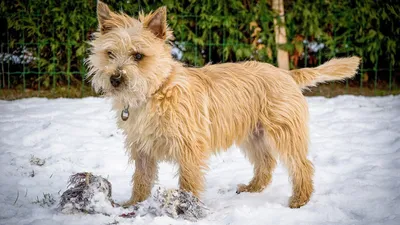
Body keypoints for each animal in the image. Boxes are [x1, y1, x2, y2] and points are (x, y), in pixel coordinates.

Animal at [87, 1, 362, 209]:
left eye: (138, 56)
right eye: (110, 54)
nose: (116, 78)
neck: (156, 91)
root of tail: (286, 74)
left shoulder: (189, 147)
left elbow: (188, 180)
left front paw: (186, 207)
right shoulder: (142, 149)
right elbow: (141, 178)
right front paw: (134, 204)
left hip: (284, 132)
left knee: (301, 165)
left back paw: (300, 200)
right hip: (254, 135)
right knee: (266, 163)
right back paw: (253, 188)